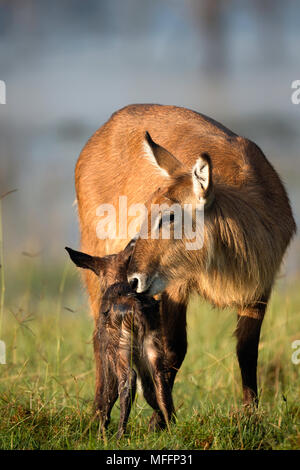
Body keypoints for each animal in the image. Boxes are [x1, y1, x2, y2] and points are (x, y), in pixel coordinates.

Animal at [64, 244, 175, 438]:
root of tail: (135, 308)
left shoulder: (103, 350)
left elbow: (106, 392)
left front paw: (101, 431)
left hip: (119, 346)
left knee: (128, 378)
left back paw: (119, 434)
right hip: (151, 344)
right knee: (158, 380)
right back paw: (169, 429)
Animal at [75, 104, 296, 428]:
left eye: (168, 215)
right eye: (146, 209)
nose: (133, 279)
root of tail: (109, 124)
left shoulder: (258, 289)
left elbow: (247, 349)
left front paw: (250, 417)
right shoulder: (175, 287)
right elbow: (173, 348)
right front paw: (160, 418)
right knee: (99, 337)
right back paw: (98, 414)